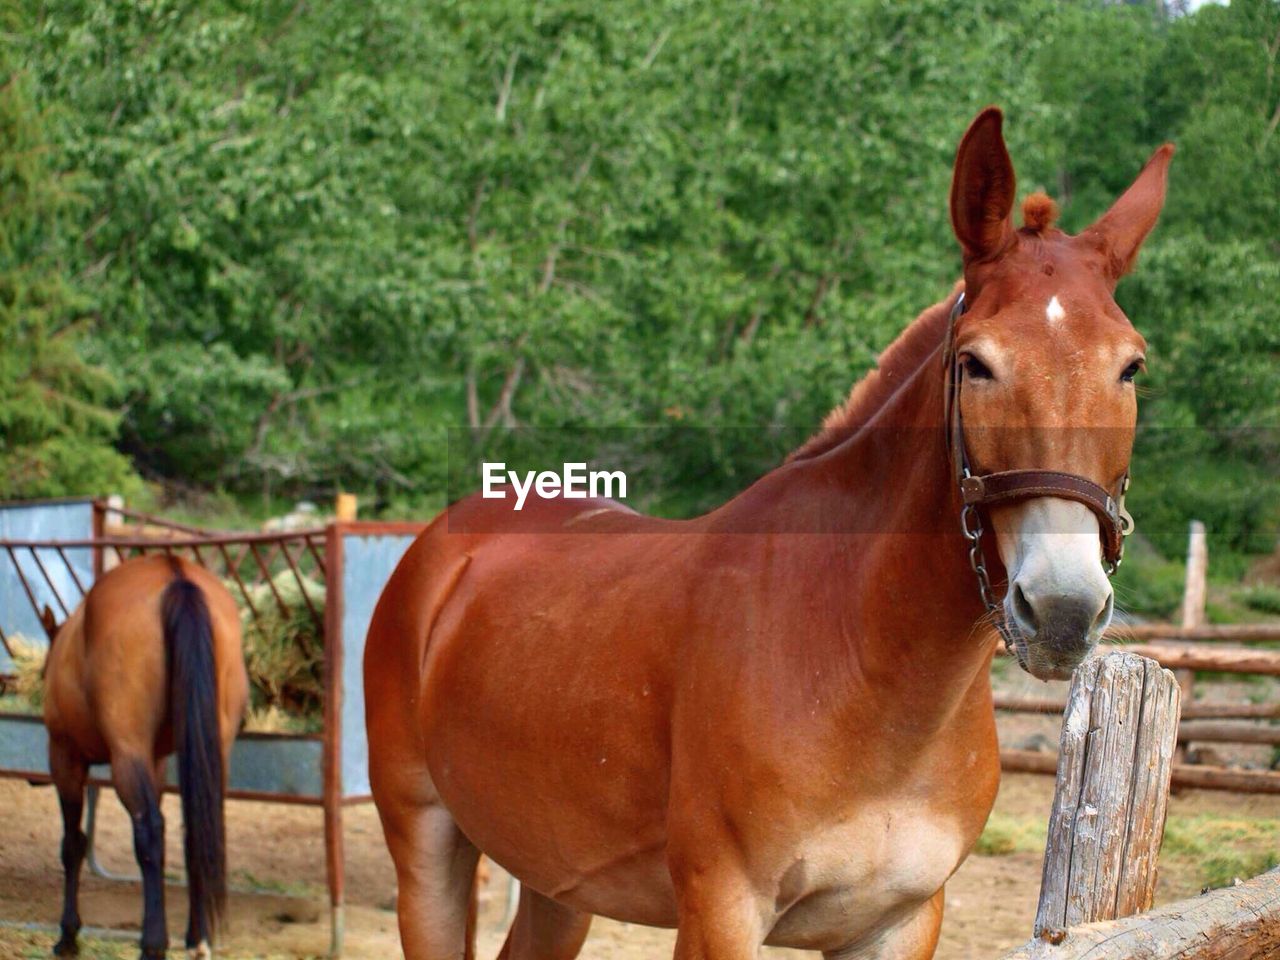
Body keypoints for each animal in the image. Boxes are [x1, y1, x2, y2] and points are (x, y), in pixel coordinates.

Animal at [366, 108, 1172, 957]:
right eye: (976, 363)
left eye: (1131, 367)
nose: (1062, 610)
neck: (862, 659)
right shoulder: (722, 909)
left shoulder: (902, 919)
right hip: (427, 845)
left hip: (558, 879)